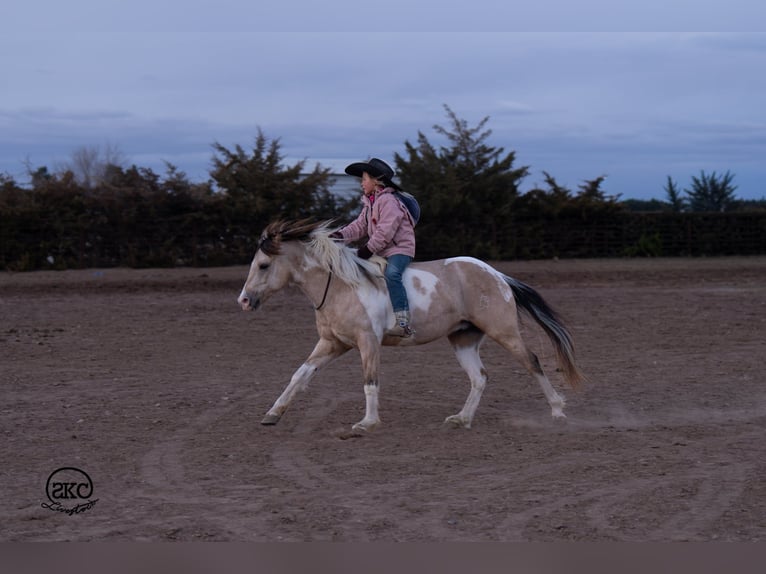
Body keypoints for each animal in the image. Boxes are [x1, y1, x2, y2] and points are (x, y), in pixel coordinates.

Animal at [237, 219, 584, 432]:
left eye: (264, 265)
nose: (243, 300)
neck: (340, 285)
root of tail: (497, 275)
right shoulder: (332, 343)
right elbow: (300, 374)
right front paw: (273, 414)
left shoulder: (367, 342)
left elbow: (370, 382)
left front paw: (367, 423)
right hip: (463, 339)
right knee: (480, 377)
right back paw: (461, 418)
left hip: (504, 331)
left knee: (532, 362)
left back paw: (557, 411)